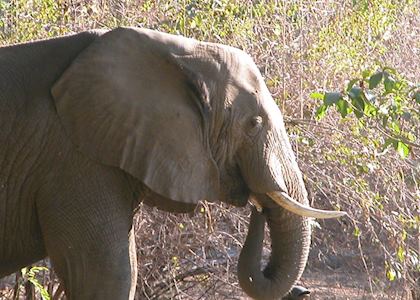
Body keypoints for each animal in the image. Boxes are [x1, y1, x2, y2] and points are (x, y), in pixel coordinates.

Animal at [0, 27, 344, 298]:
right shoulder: (74, 161)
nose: (303, 291)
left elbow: (126, 268)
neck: (181, 53)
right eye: (254, 124)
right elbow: (105, 275)